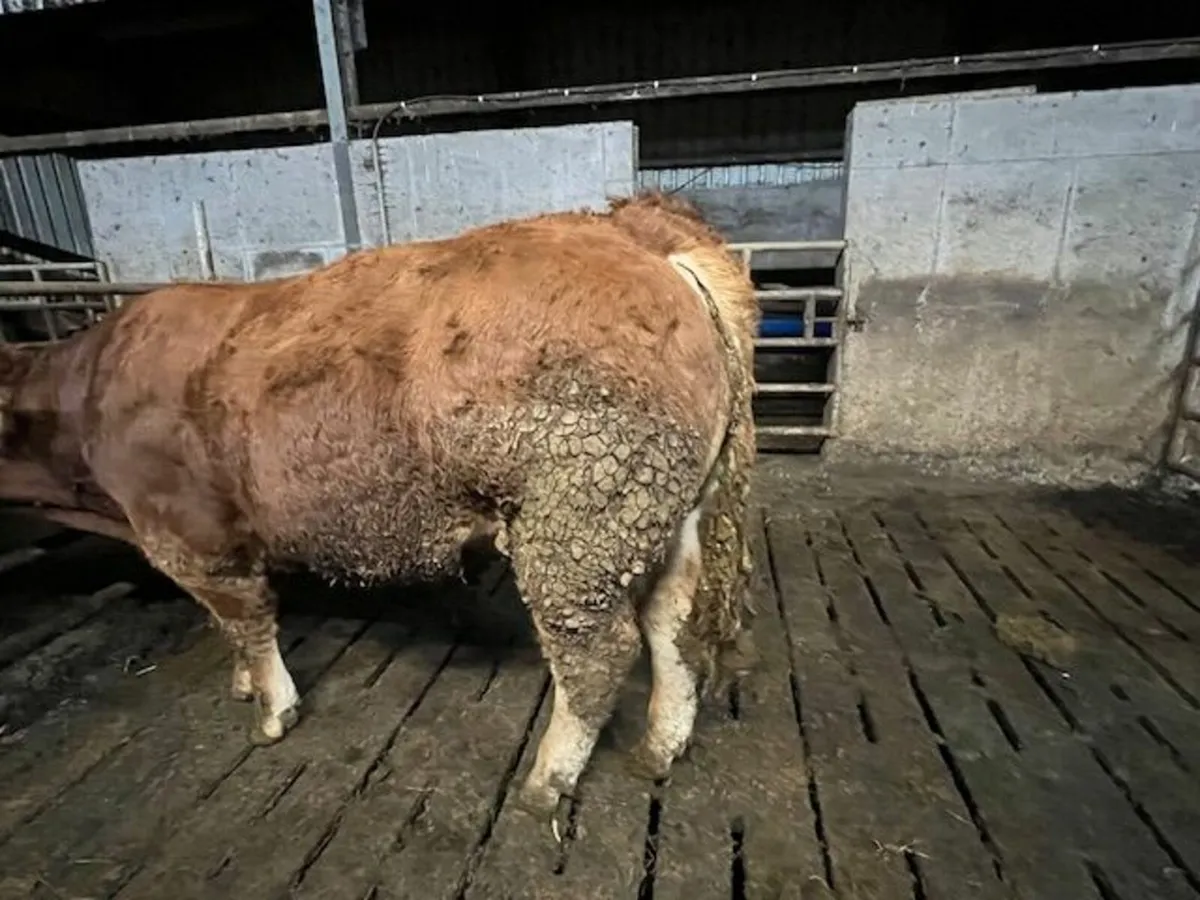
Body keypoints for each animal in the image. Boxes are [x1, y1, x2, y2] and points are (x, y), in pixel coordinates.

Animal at [0, 191, 760, 822]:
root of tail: (636, 231)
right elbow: (228, 628)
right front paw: (245, 684)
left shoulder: (190, 534)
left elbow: (246, 620)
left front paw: (271, 710)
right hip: (669, 514)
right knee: (671, 624)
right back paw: (659, 747)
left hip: (579, 522)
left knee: (599, 651)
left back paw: (546, 781)